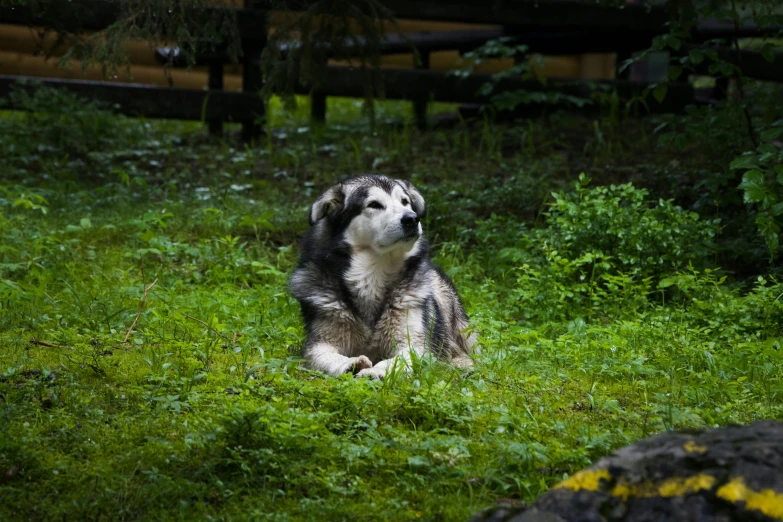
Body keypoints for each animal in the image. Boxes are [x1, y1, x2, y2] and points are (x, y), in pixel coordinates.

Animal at [290, 175, 478, 378]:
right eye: (374, 204)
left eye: (405, 202)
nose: (412, 218)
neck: (372, 274)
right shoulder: (318, 344)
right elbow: (326, 356)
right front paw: (350, 363)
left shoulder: (415, 344)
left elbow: (396, 360)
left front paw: (377, 370)